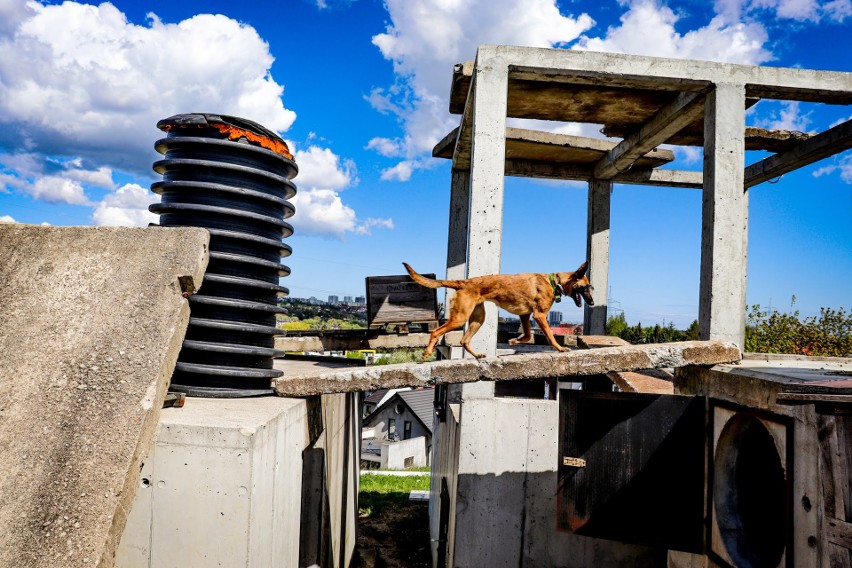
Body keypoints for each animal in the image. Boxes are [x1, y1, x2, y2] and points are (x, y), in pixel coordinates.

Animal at [404, 262, 592, 360]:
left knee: (464, 340)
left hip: (478, 318)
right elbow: (550, 336)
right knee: (436, 331)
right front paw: (560, 348)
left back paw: (477, 355)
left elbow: (528, 336)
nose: (592, 302)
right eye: (585, 287)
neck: (554, 282)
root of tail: (464, 282)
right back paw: (427, 352)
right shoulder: (539, 316)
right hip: (460, 318)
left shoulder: (525, 315)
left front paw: (514, 341)